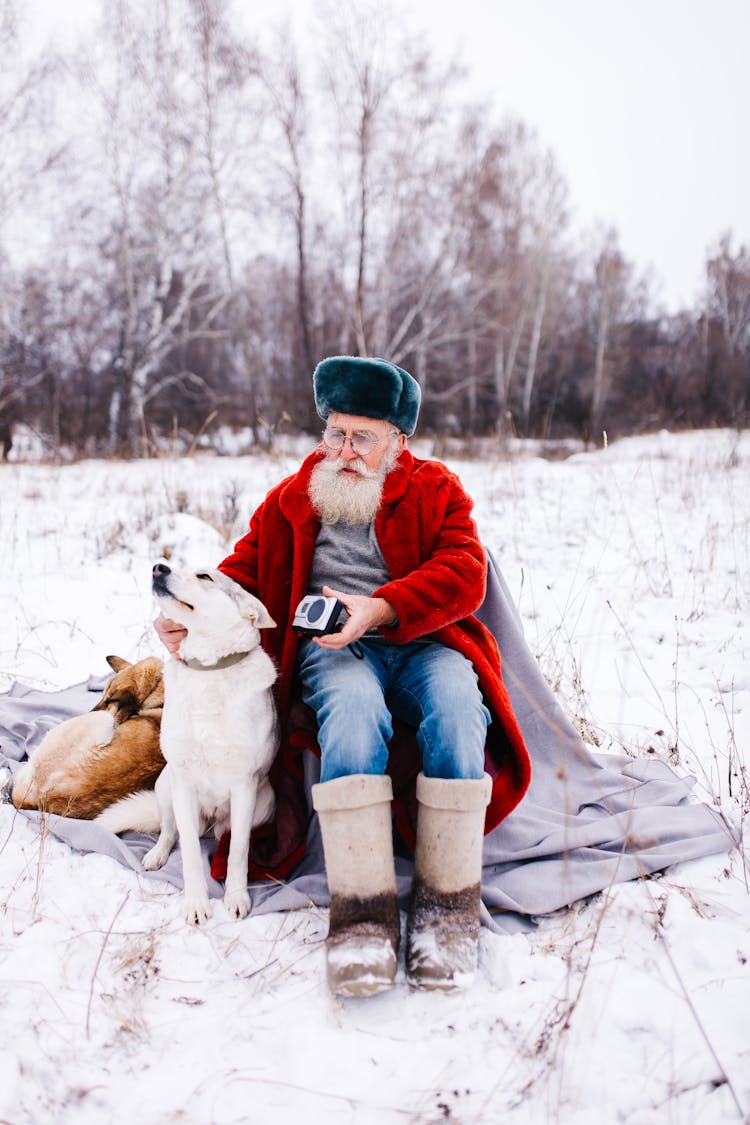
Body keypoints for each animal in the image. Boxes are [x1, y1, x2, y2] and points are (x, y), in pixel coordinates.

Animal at [96, 562, 278, 922]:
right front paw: (196, 903)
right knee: (170, 833)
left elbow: (238, 853)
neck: (210, 670)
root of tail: (209, 822)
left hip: (264, 803)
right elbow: (191, 854)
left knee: (224, 839)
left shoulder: (244, 786)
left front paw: (236, 896)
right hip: (167, 788)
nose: (158, 567)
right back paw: (156, 854)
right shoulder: (183, 782)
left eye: (205, 576)